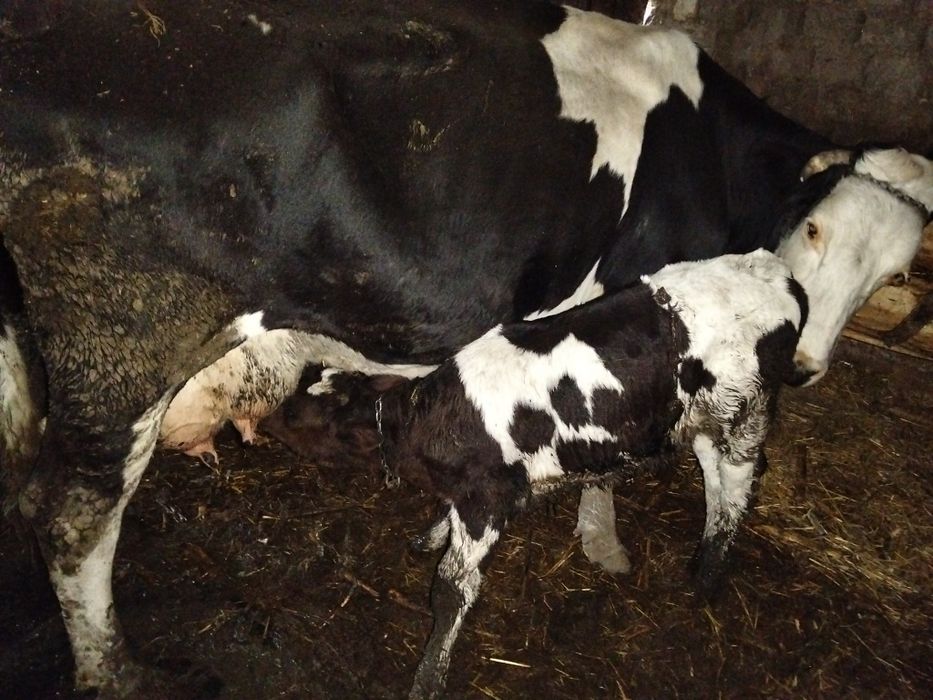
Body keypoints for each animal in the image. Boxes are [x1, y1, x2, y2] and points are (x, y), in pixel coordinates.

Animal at [0, 1, 931, 695]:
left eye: (891, 274)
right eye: (814, 227)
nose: (803, 364)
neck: (712, 159)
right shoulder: (624, 308)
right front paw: (599, 533)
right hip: (125, 339)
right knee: (74, 512)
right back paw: (115, 671)